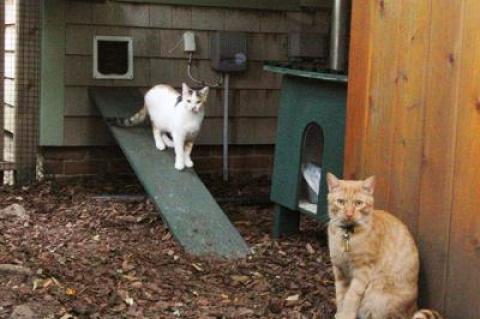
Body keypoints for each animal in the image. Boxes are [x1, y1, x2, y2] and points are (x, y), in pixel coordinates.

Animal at [326, 174, 442, 319]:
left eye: (358, 203)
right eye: (341, 202)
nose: (349, 213)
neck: (347, 235)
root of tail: (413, 308)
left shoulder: (362, 271)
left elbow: (351, 297)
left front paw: (346, 315)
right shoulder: (339, 269)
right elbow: (341, 295)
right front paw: (340, 313)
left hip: (378, 300)